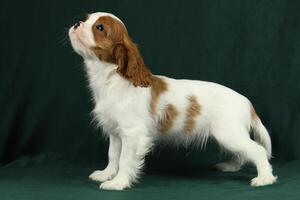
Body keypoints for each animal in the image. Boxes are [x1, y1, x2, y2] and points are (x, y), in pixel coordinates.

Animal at [69, 11, 278, 190]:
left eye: (100, 28)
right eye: (86, 19)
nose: (77, 23)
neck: (112, 79)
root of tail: (247, 103)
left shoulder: (132, 133)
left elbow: (125, 159)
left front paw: (118, 182)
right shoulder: (115, 132)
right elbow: (113, 155)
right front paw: (107, 174)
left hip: (229, 134)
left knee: (258, 151)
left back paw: (265, 178)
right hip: (230, 136)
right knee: (244, 154)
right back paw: (231, 166)